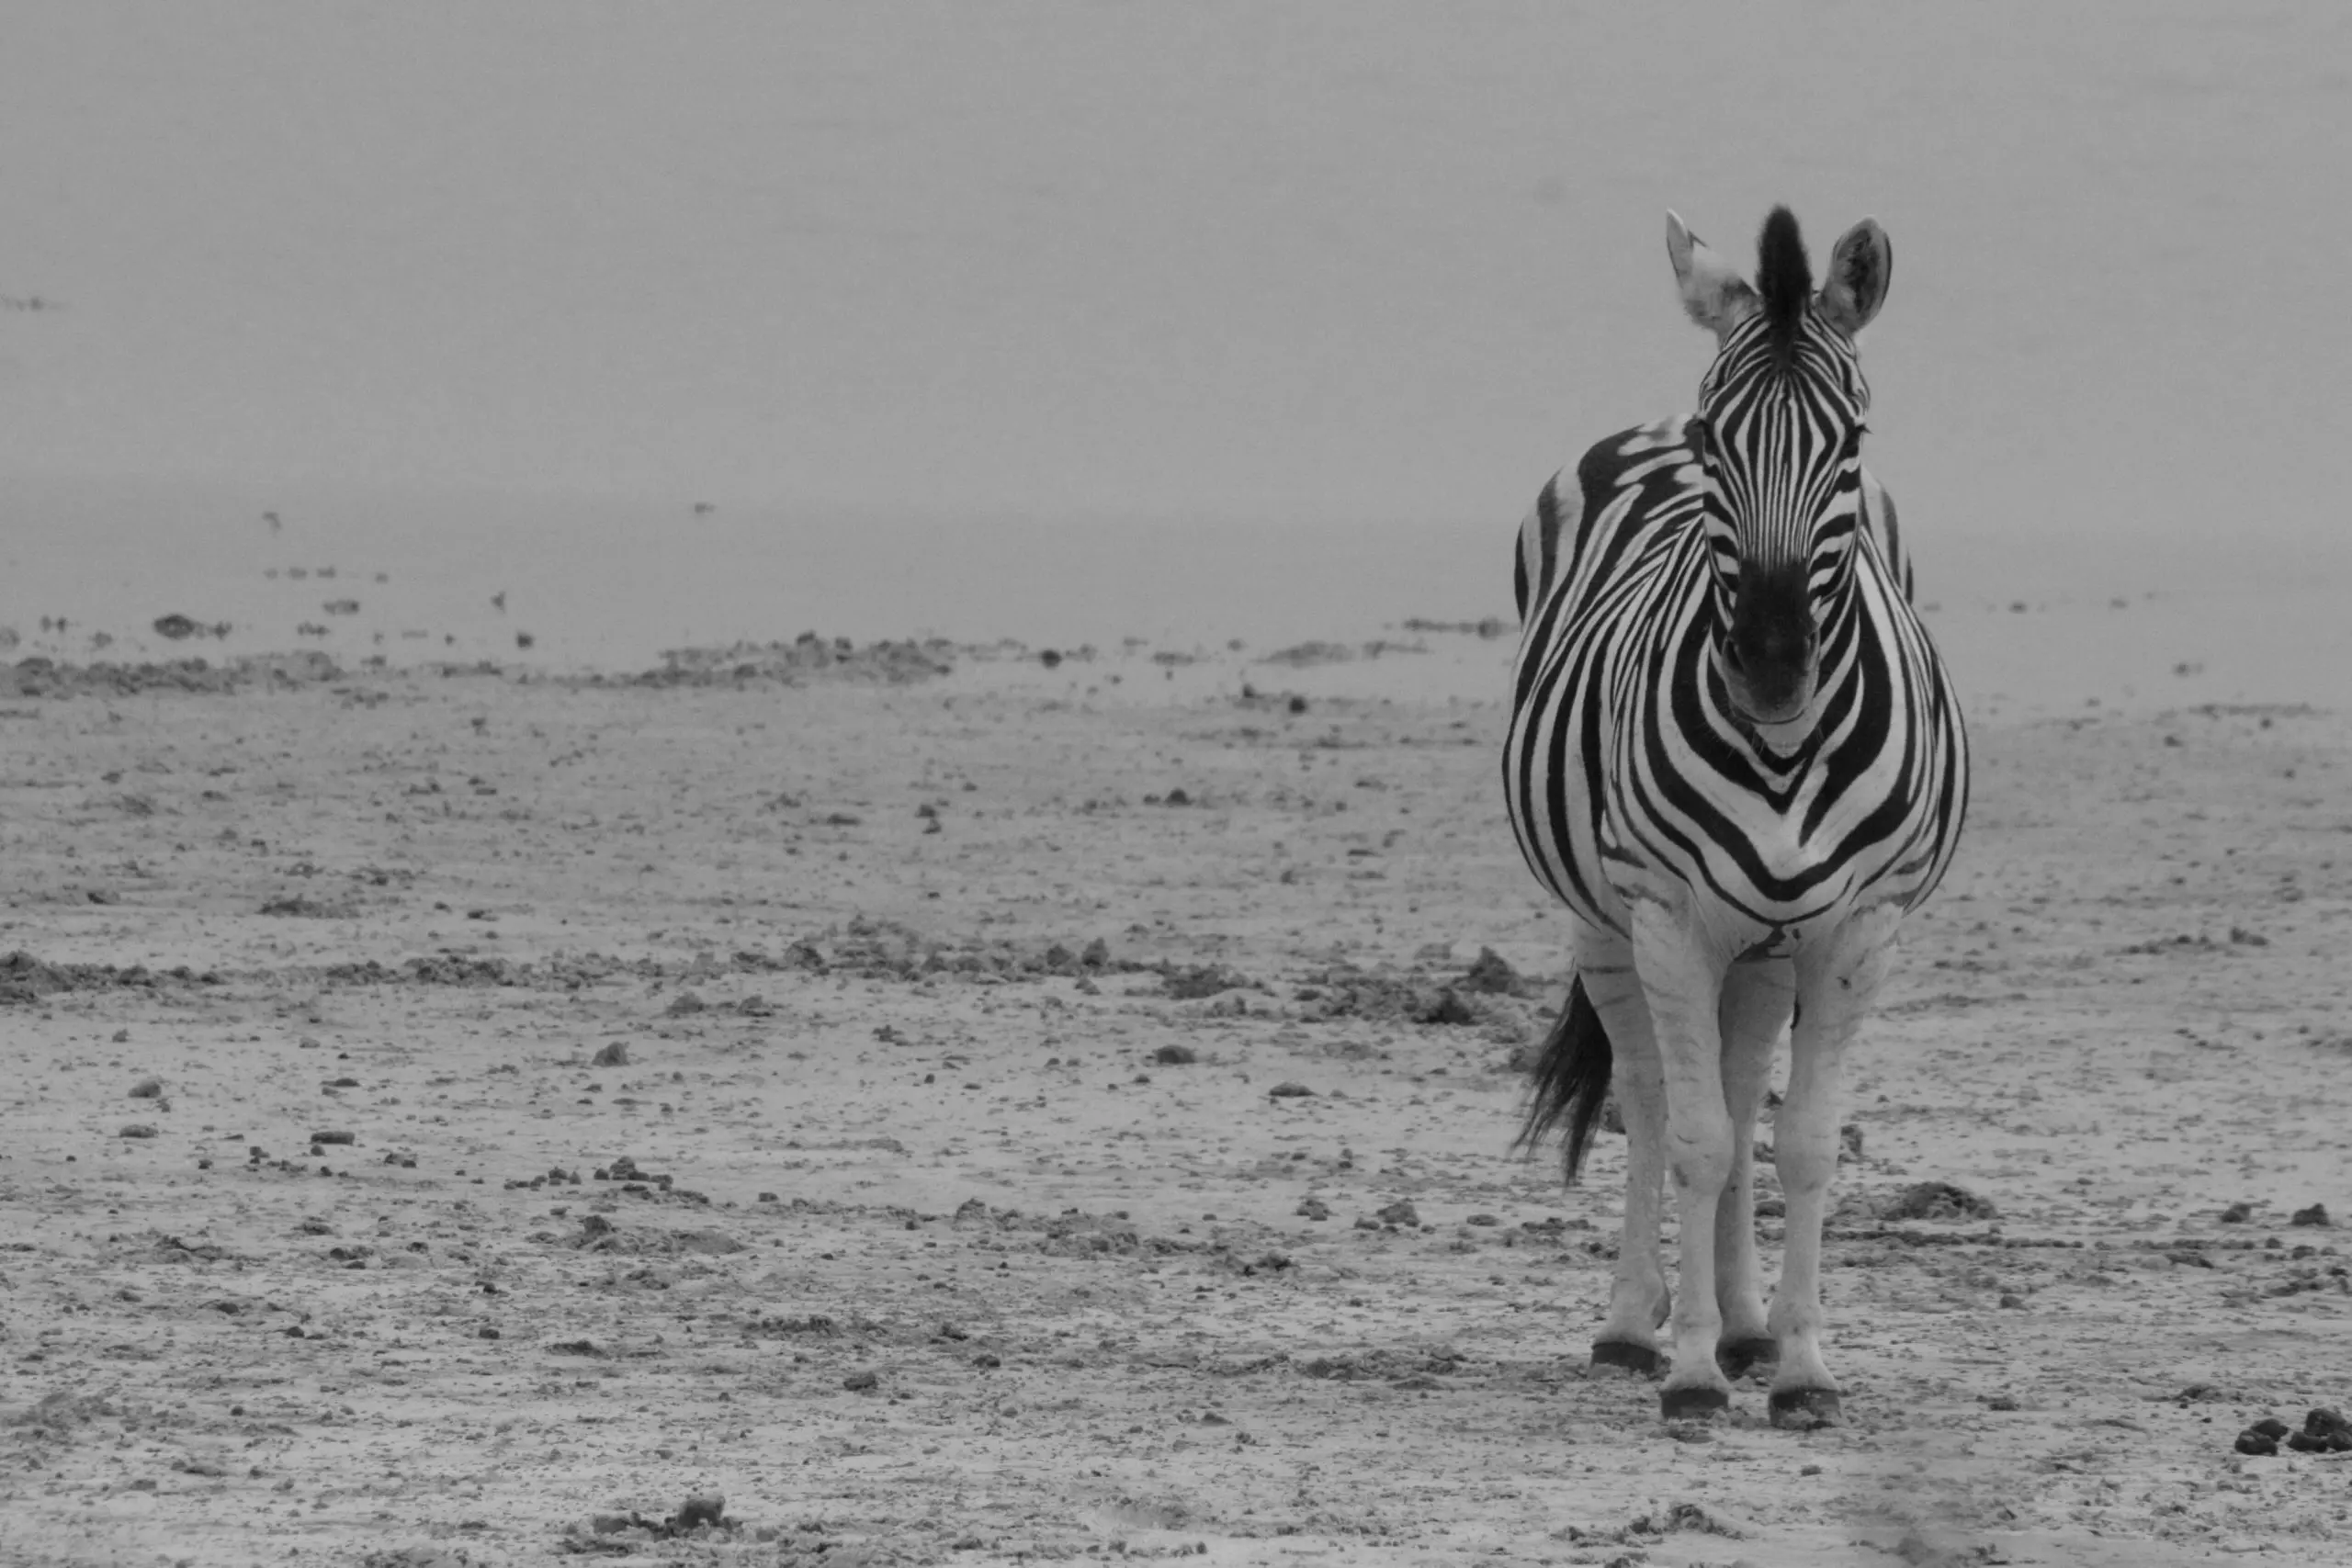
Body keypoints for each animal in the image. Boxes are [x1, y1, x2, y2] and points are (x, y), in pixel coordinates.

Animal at [1503, 207, 1968, 1427]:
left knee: (1737, 1072)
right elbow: (1699, 1139)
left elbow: (1796, 1144)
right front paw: (1691, 1372)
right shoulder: (1666, 917)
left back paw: (1746, 1321)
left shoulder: (1859, 930)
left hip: (1764, 943)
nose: (1767, 665)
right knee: (1652, 1095)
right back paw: (1636, 1327)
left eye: (1852, 440)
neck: (1784, 747)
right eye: (1720, 443)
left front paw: (1798, 1365)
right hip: (1605, 920)